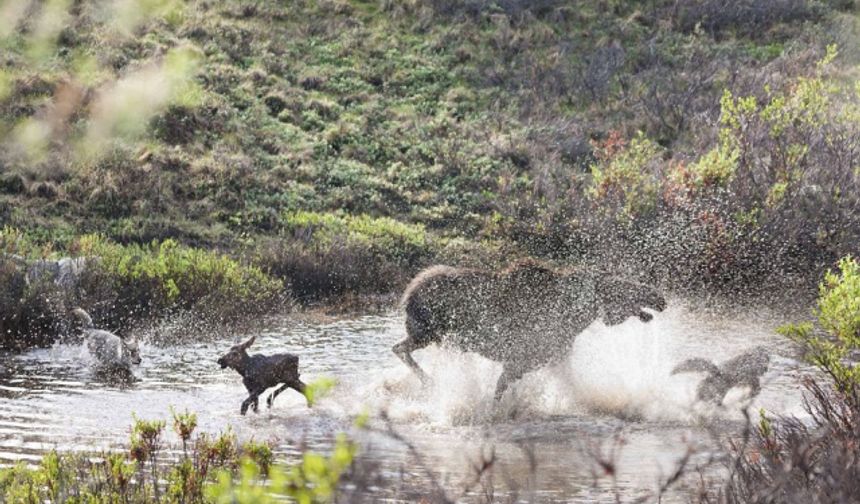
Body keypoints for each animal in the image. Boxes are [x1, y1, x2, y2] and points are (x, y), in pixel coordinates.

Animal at [394, 262, 668, 400]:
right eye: (619, 286)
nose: (659, 297)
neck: (576, 318)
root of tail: (407, 295)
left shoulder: (548, 359)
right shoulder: (521, 359)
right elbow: (498, 393)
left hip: (430, 336)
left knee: (399, 348)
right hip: (428, 333)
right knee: (399, 348)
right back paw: (429, 381)